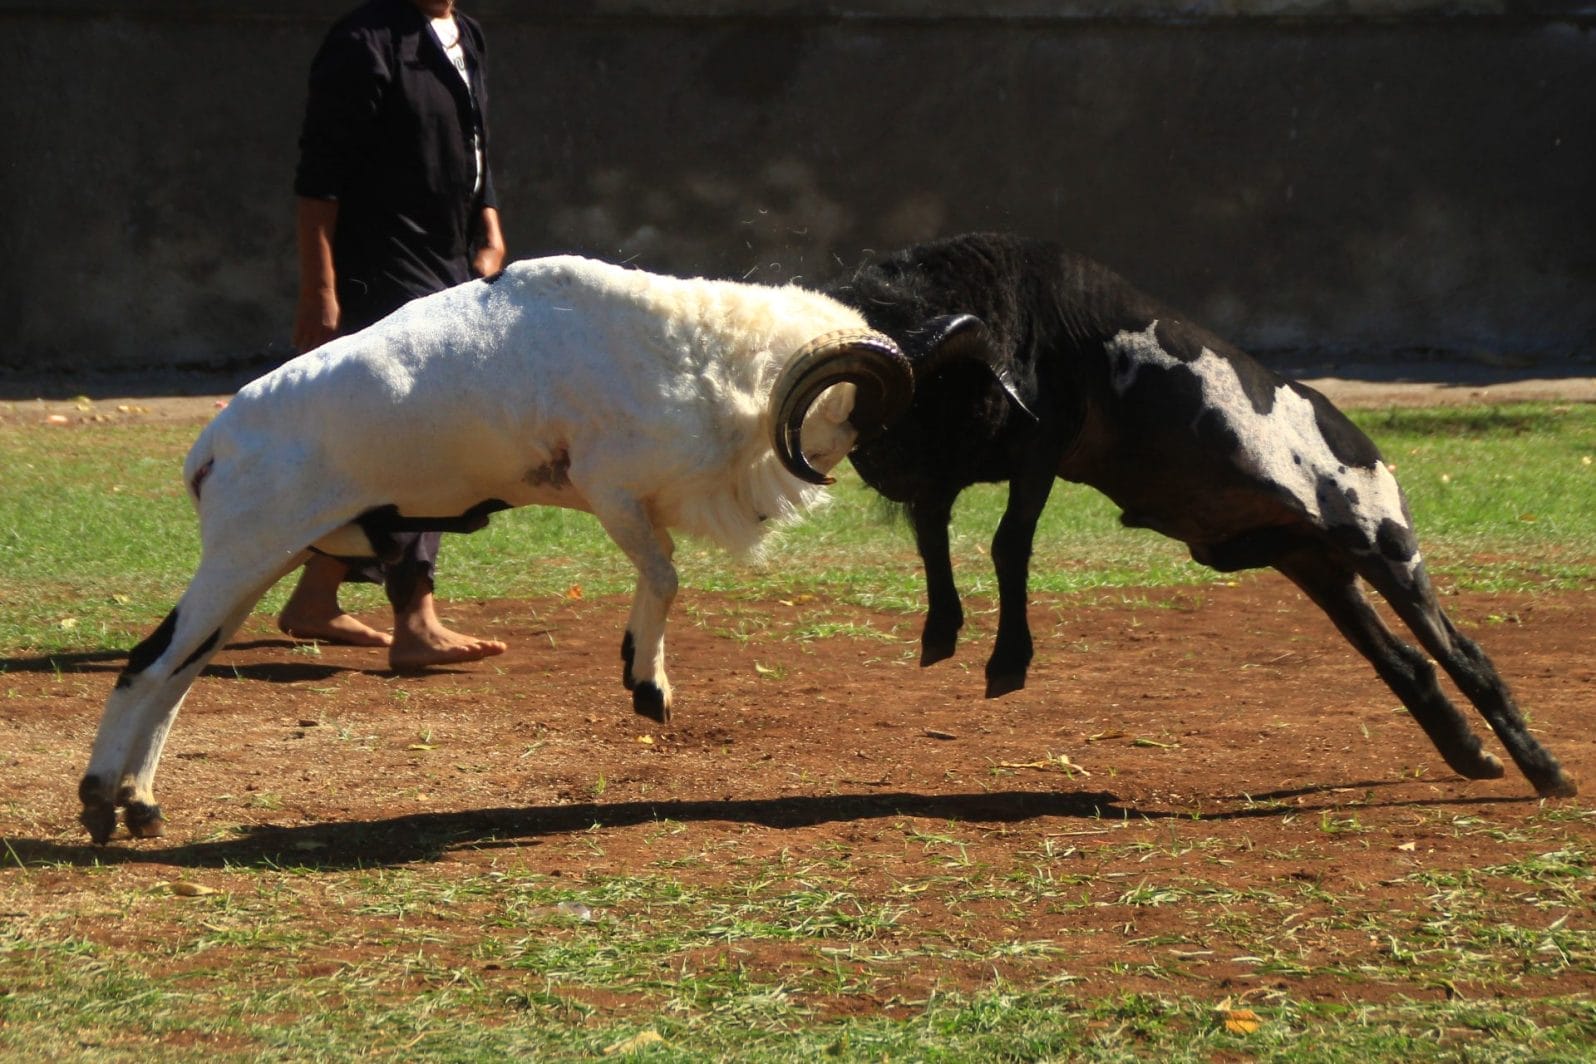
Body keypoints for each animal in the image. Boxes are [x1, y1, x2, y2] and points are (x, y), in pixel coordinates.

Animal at [78, 254, 921, 844]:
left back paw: (139, 807)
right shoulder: (611, 489)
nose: (909, 490)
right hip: (243, 552)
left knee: (177, 675)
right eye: (878, 415)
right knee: (149, 664)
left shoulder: (628, 499)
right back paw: (98, 803)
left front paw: (640, 672)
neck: (703, 351)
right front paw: (646, 686)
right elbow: (665, 574)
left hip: (258, 560)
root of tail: (211, 448)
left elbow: (661, 572)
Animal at [797, 232, 1576, 799]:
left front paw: (1007, 662)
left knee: (1463, 654)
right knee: (1406, 664)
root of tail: (1370, 451)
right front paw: (940, 633)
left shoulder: (1041, 443)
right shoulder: (959, 462)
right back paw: (1471, 756)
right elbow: (934, 533)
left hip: (1381, 543)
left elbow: (1007, 543)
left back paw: (1547, 773)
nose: (869, 461)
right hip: (1311, 561)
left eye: (916, 379)